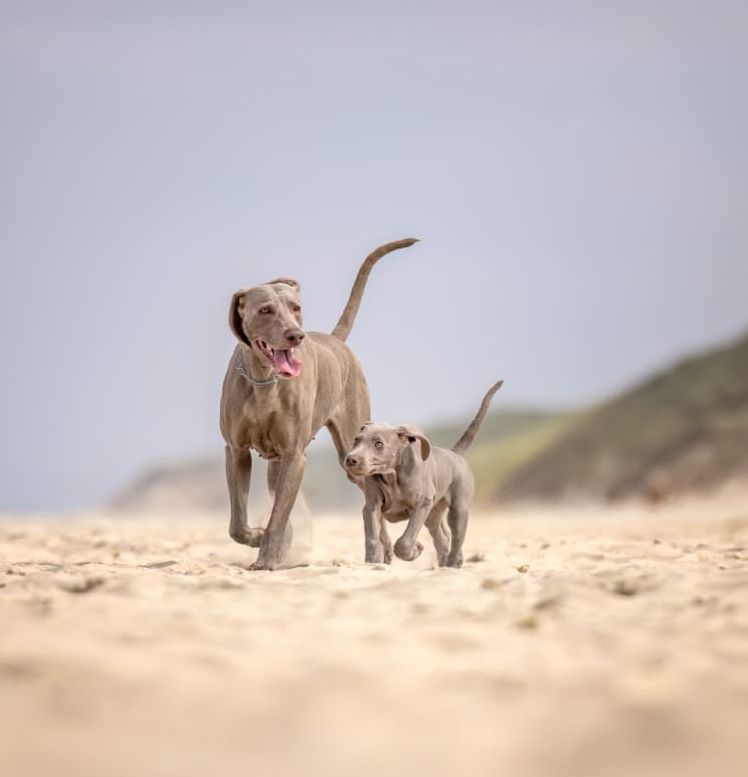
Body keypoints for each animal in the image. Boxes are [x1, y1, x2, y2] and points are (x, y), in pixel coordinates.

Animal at [219, 236, 418, 568]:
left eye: (296, 307)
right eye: (265, 310)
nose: (296, 335)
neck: (264, 381)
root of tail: (335, 339)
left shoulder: (294, 456)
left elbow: (278, 518)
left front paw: (266, 559)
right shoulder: (236, 451)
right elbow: (238, 523)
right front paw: (257, 537)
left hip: (353, 452)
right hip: (280, 464)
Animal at [344, 380, 502, 568]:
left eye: (378, 444)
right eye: (356, 440)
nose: (351, 459)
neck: (392, 476)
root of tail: (455, 453)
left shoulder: (422, 503)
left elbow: (405, 541)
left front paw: (414, 550)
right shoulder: (371, 506)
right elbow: (373, 538)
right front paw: (373, 561)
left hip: (458, 507)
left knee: (456, 537)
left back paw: (454, 563)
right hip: (433, 515)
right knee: (442, 538)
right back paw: (444, 564)